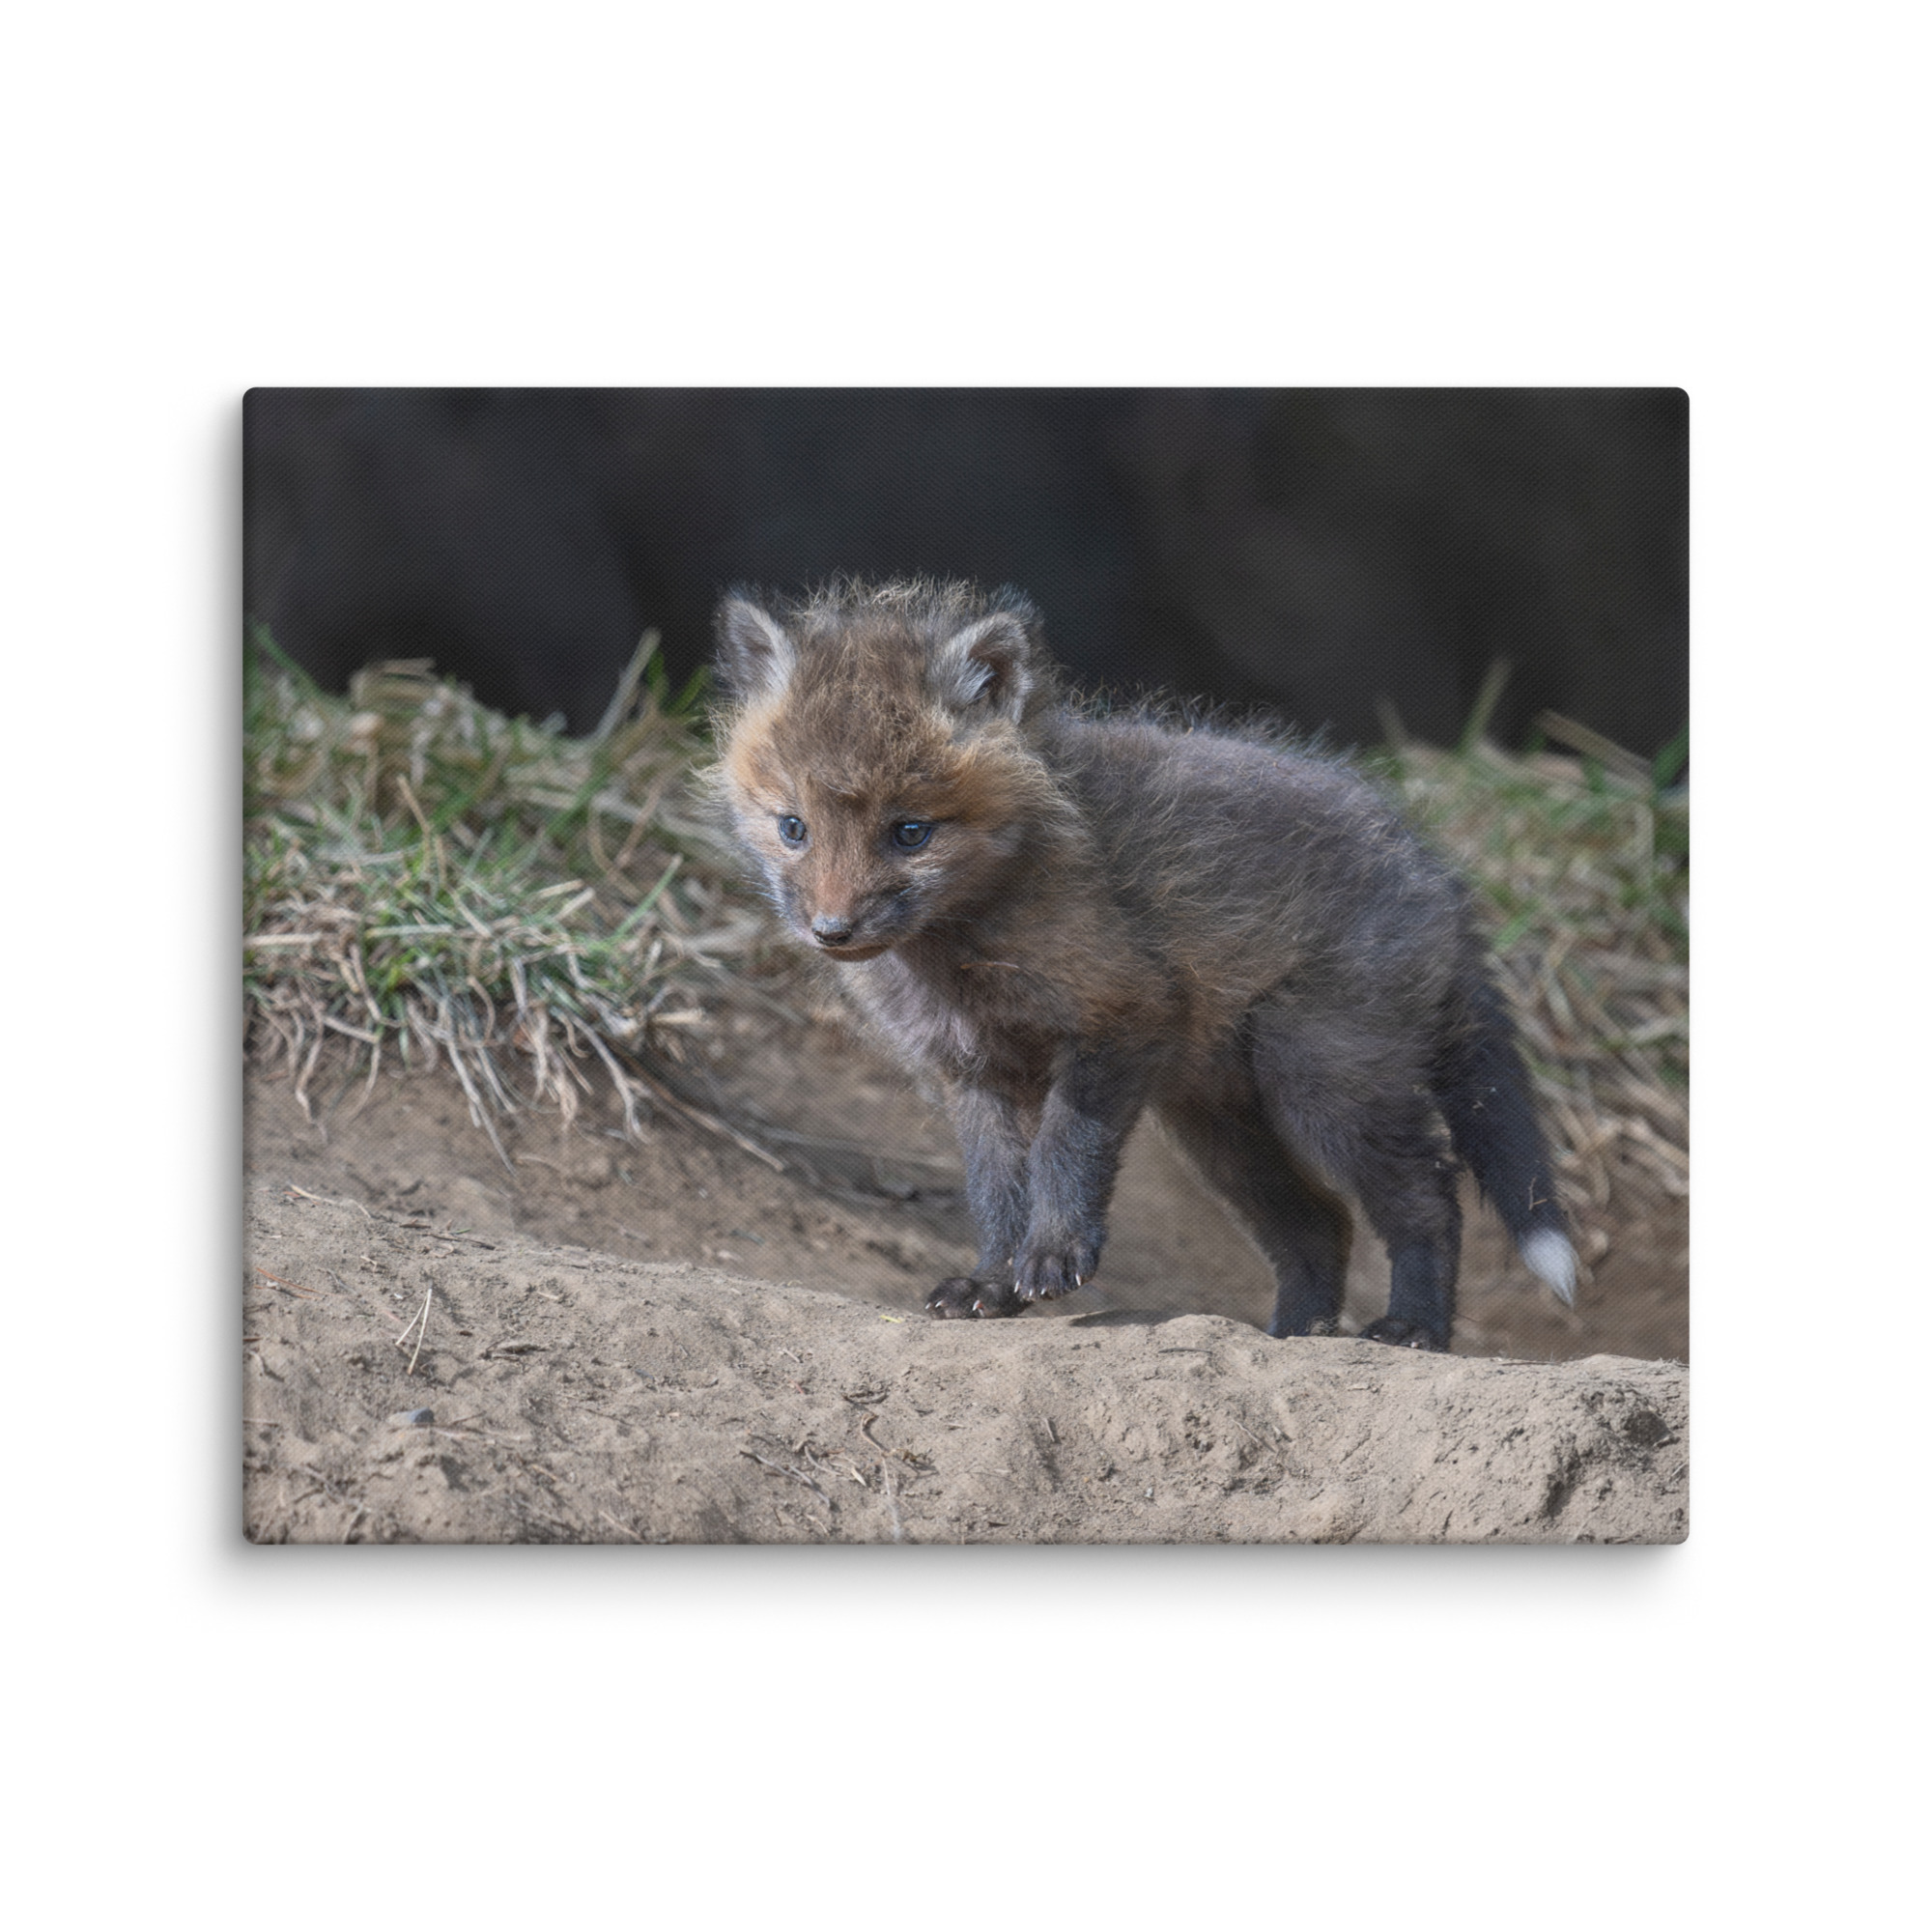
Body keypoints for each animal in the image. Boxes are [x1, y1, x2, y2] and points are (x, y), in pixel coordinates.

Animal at [709, 577, 1576, 1351]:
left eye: (910, 832)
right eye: (793, 828)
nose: (832, 930)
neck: (962, 953)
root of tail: (1436, 872)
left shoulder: (1121, 1014)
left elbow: (1064, 1150)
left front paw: (1054, 1255)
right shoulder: (974, 1071)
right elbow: (995, 1191)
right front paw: (992, 1283)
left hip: (1322, 1080)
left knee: (1429, 1196)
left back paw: (1413, 1328)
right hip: (1221, 1125)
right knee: (1320, 1225)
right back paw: (1295, 1335)